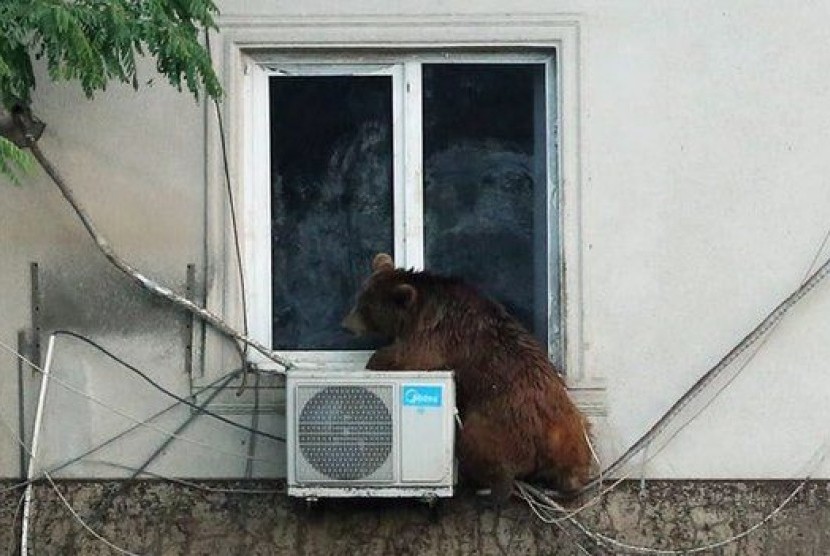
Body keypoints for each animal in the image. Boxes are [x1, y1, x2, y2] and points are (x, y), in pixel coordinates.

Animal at [342, 254, 596, 502]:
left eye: (366, 307)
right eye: (359, 298)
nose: (346, 325)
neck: (420, 307)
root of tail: (544, 437)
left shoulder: (438, 335)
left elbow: (412, 355)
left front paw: (376, 357)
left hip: (495, 422)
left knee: (478, 448)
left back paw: (485, 487)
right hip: (570, 427)